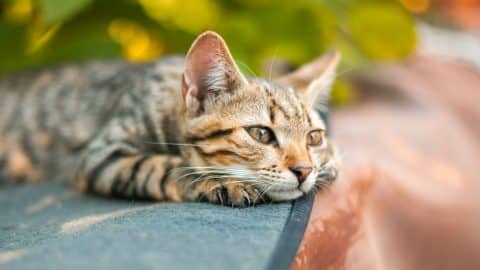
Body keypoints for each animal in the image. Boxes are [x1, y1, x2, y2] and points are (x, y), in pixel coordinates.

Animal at [0, 31, 340, 207]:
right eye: (260, 134)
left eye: (313, 138)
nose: (304, 170)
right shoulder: (102, 153)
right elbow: (161, 165)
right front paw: (221, 180)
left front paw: (329, 164)